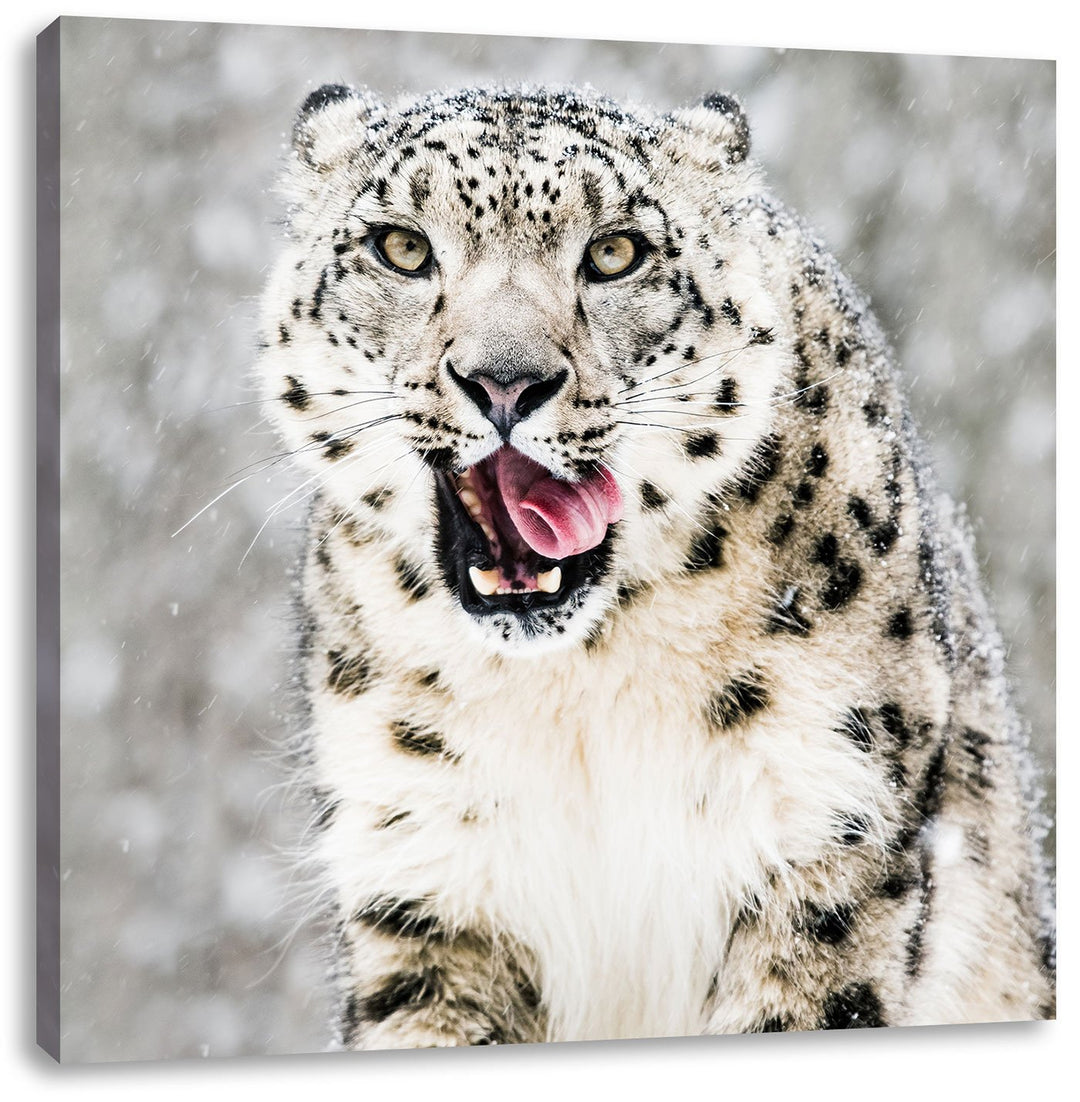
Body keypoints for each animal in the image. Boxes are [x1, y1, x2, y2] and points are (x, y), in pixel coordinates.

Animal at [255, 82, 1055, 1048]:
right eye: (402, 247)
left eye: (615, 253)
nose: (505, 381)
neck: (578, 692)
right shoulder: (425, 870)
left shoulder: (825, 827)